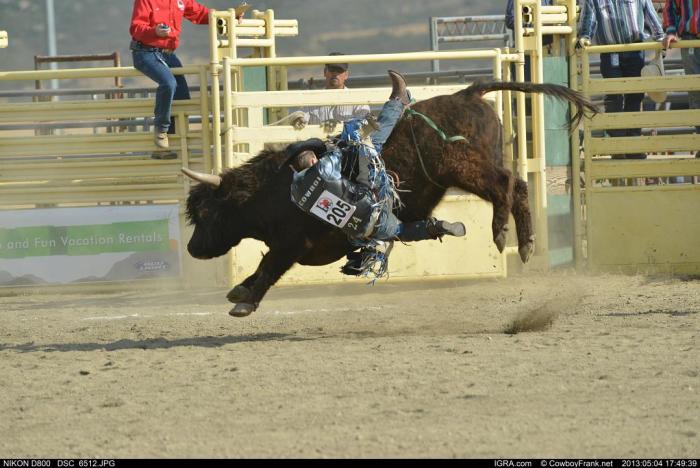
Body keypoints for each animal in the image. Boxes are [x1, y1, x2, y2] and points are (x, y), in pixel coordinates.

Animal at [182, 80, 596, 316]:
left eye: (208, 213)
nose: (191, 249)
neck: (276, 190)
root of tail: (465, 94)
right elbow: (260, 266)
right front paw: (240, 288)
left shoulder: (293, 243)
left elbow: (269, 267)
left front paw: (245, 302)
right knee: (519, 186)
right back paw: (524, 244)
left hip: (461, 167)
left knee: (503, 184)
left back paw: (501, 233)